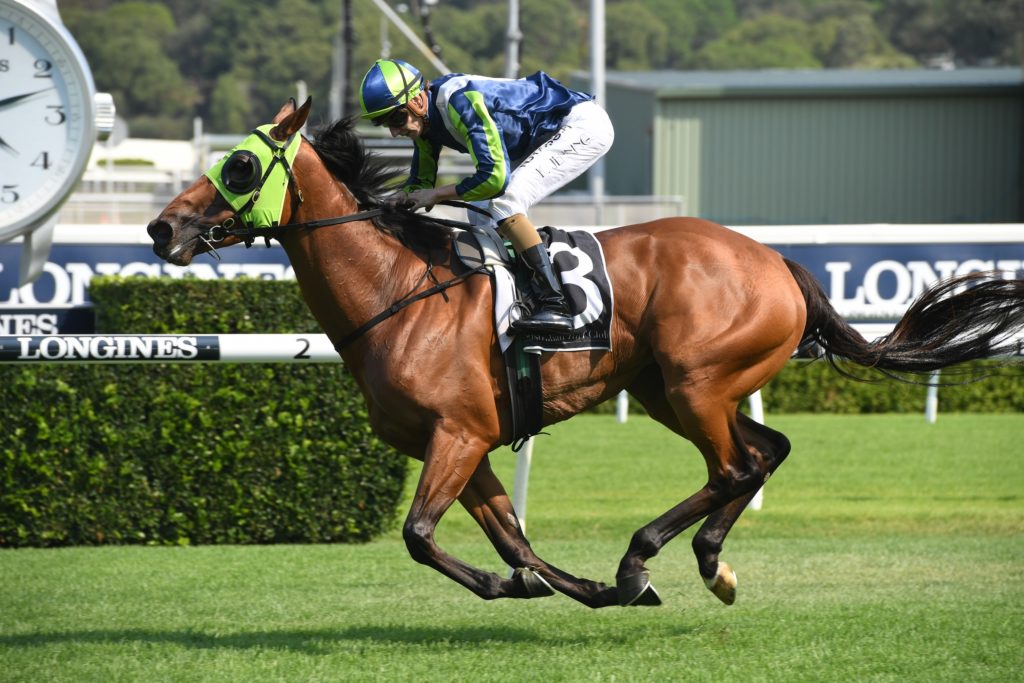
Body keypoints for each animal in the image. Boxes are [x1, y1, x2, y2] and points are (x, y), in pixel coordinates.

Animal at [148, 98, 1024, 608]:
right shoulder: (463, 442)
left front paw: (539, 583)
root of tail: (778, 261)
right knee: (765, 449)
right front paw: (568, 586)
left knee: (735, 465)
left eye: (239, 165)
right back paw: (708, 564)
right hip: (676, 389)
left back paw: (646, 558)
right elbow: (512, 538)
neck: (401, 290)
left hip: (696, 382)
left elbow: (421, 534)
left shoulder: (457, 433)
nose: (162, 227)